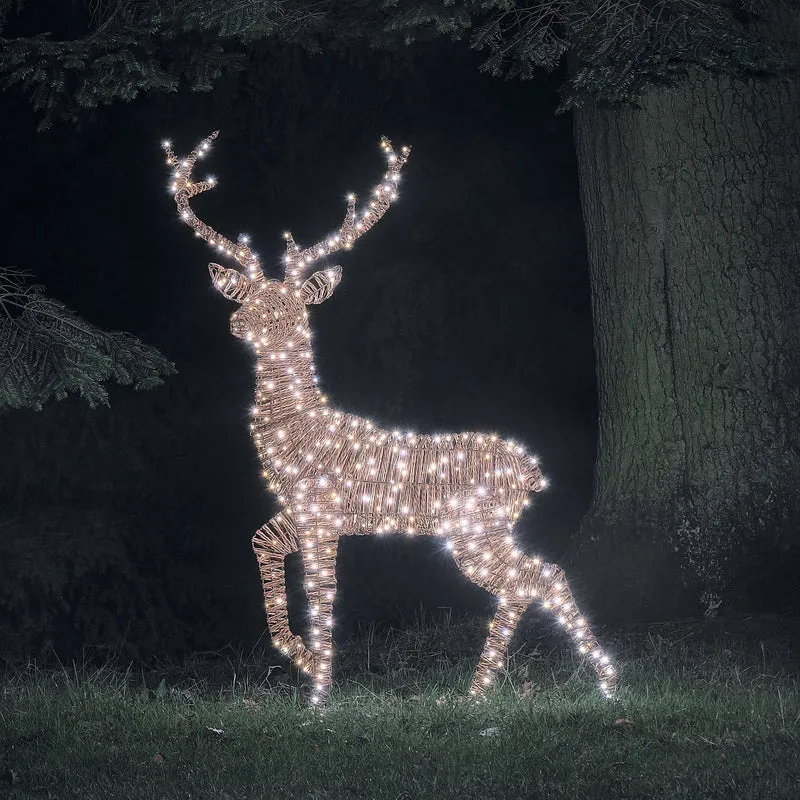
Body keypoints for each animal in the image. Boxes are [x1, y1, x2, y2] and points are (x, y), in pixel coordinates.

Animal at [163, 132, 617, 704]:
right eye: (251, 295)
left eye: (289, 305)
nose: (238, 321)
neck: (298, 429)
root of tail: (531, 472)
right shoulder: (300, 511)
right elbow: (260, 542)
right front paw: (303, 659)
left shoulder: (322, 511)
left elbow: (323, 593)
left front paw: (320, 694)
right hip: (482, 529)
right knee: (536, 576)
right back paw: (498, 688)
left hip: (475, 528)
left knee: (536, 576)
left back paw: (585, 681)